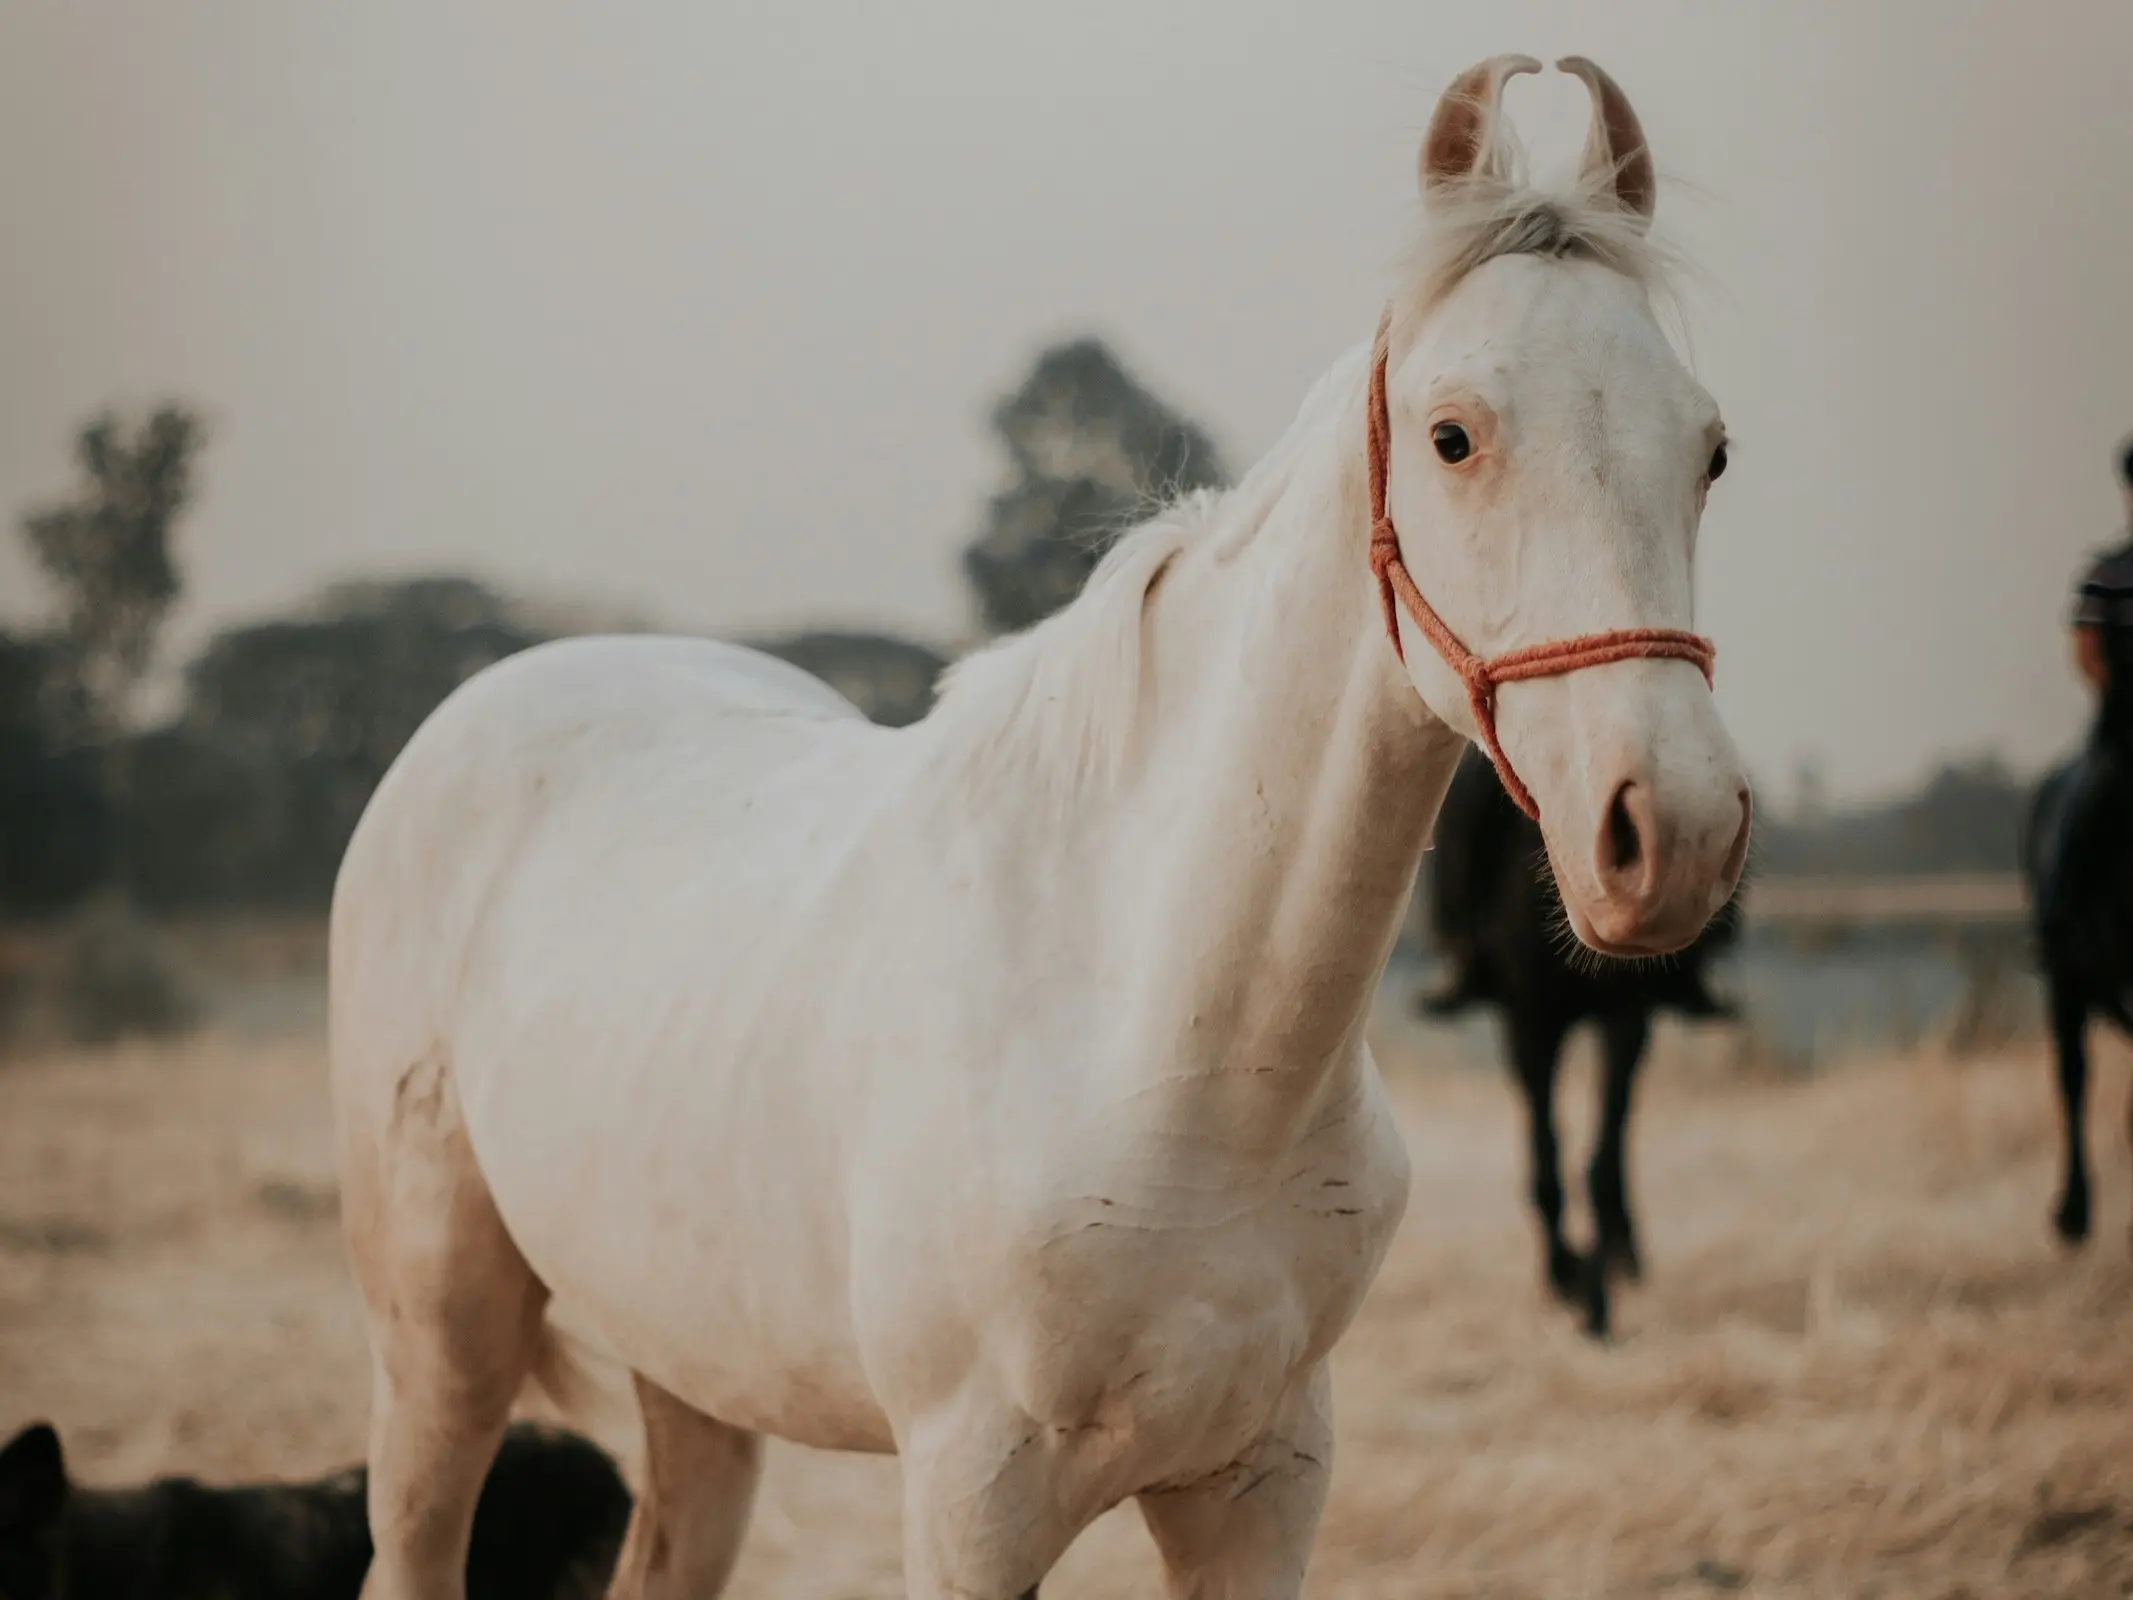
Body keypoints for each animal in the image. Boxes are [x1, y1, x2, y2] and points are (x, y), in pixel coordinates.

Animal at [1407, 750, 1740, 1339]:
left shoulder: (1625, 1016)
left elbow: (1602, 1154)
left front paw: (1596, 1288)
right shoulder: (1528, 1022)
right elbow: (1546, 1154)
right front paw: (1567, 1274)